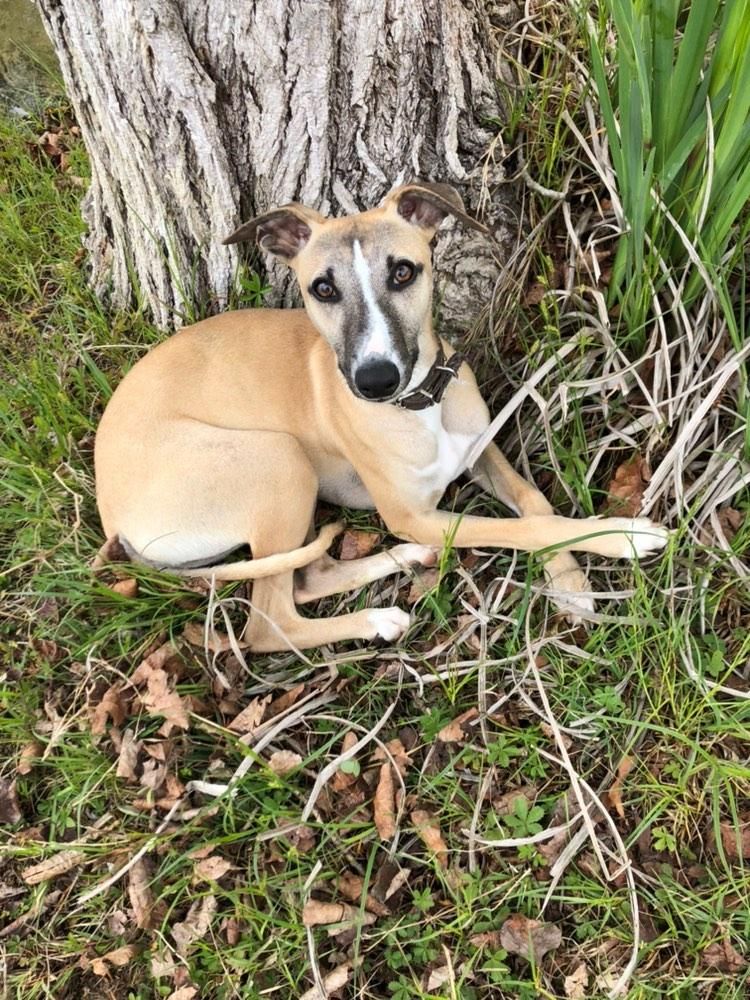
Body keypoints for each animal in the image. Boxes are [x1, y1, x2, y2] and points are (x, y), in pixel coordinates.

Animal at [95, 181, 668, 652]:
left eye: (403, 271)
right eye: (323, 288)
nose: (375, 381)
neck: (421, 405)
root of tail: (114, 520)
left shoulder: (479, 451)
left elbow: (535, 504)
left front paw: (570, 582)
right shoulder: (412, 514)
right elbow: (524, 530)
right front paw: (623, 536)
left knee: (310, 576)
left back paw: (404, 561)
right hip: (277, 459)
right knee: (269, 624)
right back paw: (377, 620)